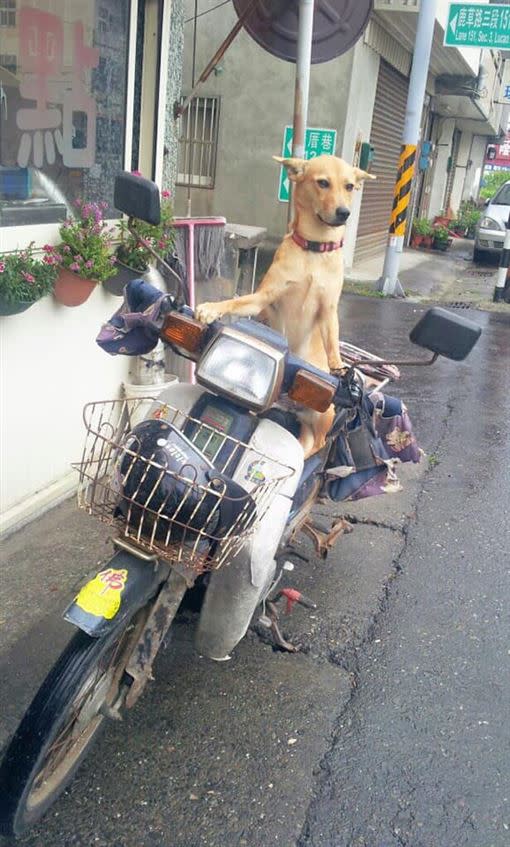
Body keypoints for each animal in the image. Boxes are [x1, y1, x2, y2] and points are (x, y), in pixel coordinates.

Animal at [197, 154, 376, 458]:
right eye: (323, 183)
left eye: (350, 186)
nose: (344, 212)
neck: (315, 249)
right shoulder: (263, 298)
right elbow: (236, 302)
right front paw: (212, 308)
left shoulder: (328, 310)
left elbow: (333, 345)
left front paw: (341, 370)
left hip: (323, 414)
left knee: (317, 444)